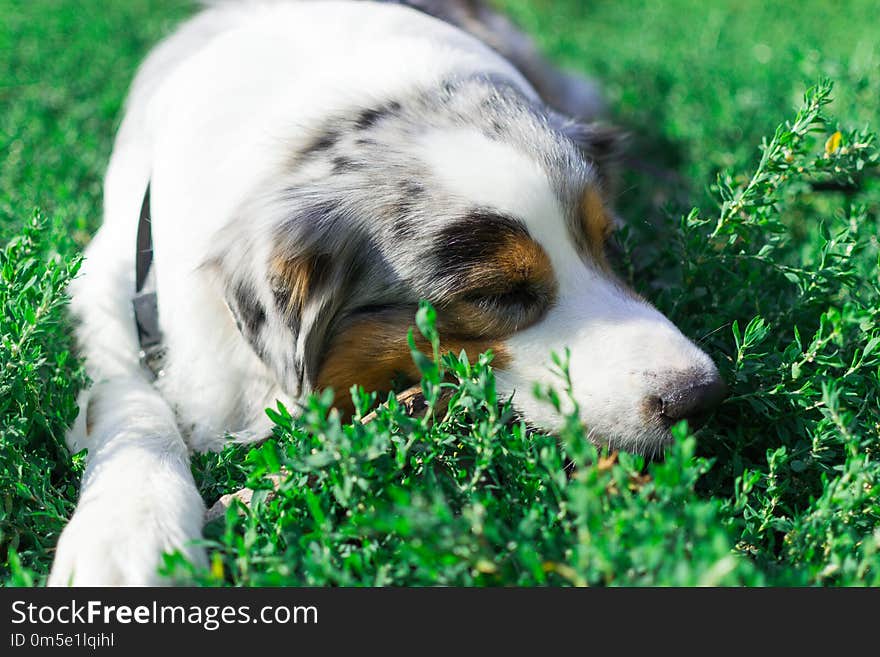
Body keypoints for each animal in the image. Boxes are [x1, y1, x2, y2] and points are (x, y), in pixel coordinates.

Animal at [46, 0, 720, 584]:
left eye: (609, 244)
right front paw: (128, 537)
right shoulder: (111, 278)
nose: (702, 395)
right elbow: (128, 395)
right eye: (497, 293)